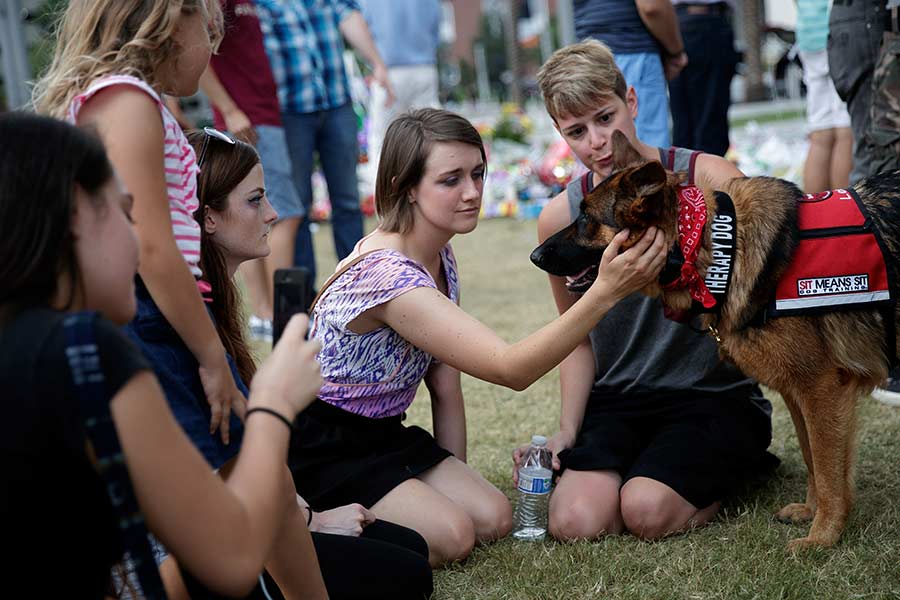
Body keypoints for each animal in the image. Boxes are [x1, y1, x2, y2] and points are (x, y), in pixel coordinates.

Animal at [532, 130, 900, 548]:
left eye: (585, 218)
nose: (534, 254)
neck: (710, 245)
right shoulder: (800, 393)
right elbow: (812, 458)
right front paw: (812, 514)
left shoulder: (820, 389)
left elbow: (826, 468)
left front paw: (821, 538)